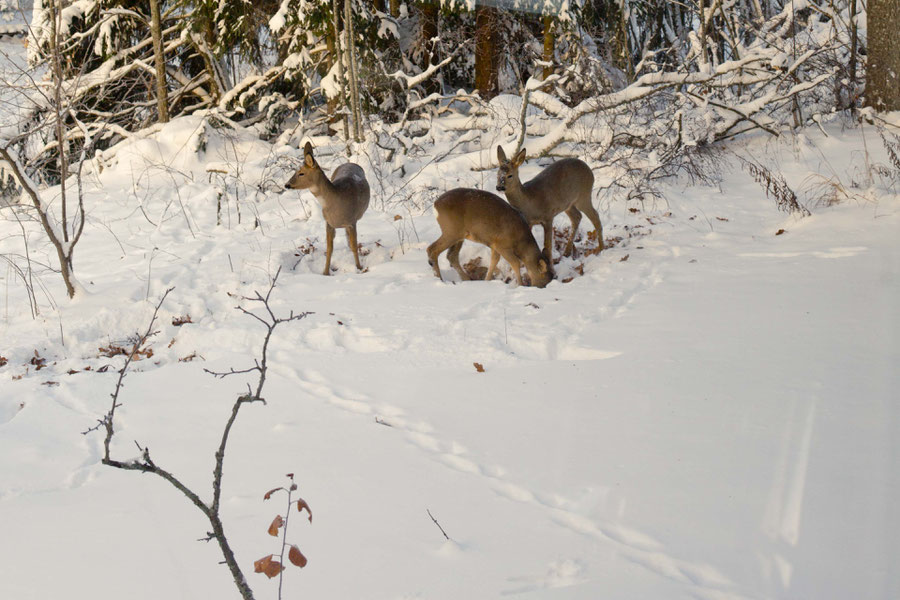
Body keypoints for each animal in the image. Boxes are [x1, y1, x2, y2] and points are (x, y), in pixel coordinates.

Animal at [284, 142, 370, 276]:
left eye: (301, 173)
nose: (286, 185)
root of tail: (351, 163)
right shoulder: (329, 223)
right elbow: (329, 249)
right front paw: (325, 272)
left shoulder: (352, 221)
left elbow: (354, 246)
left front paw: (359, 268)